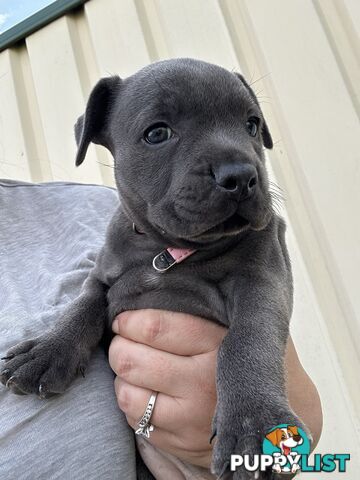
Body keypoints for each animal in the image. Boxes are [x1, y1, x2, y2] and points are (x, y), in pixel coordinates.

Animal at [1, 58, 308, 478]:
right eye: (158, 133)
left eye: (252, 125)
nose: (241, 175)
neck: (166, 250)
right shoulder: (103, 276)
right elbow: (82, 305)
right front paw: (48, 350)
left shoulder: (263, 279)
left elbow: (248, 337)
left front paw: (254, 421)